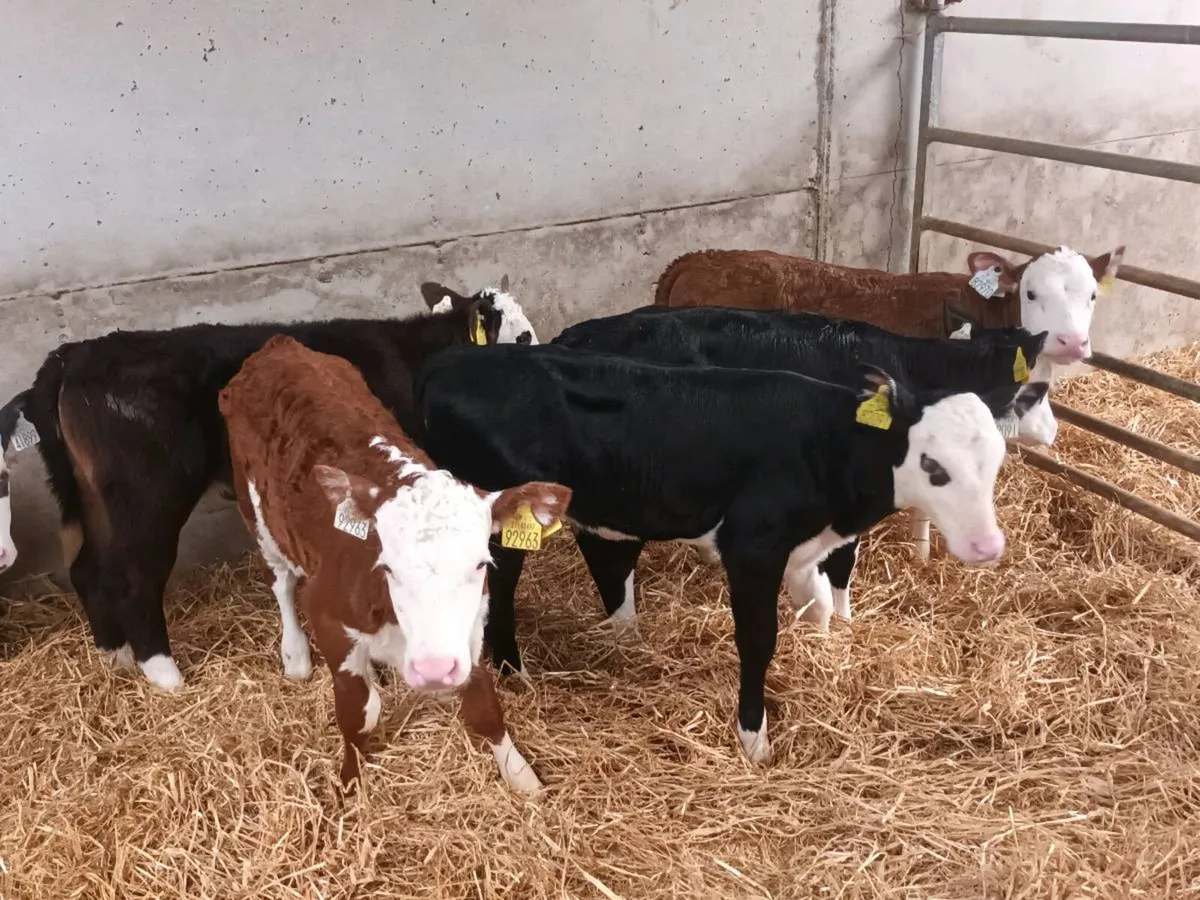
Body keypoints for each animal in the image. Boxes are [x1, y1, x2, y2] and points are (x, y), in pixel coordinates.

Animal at [15, 282, 538, 691]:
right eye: (522, 334)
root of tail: (72, 354)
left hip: (92, 497)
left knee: (88, 568)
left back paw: (115, 656)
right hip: (146, 497)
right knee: (135, 577)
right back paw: (164, 673)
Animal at [219, 335, 569, 791]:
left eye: (480, 565)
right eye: (387, 567)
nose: (434, 669)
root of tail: (279, 345)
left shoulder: (470, 627)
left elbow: (485, 708)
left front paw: (521, 776)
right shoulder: (328, 618)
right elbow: (359, 713)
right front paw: (349, 783)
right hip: (257, 514)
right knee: (280, 582)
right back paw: (295, 655)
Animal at [414, 344, 1009, 762]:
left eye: (1000, 458)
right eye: (933, 465)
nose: (989, 546)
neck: (828, 443)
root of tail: (445, 365)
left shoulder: (802, 547)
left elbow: (818, 604)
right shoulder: (752, 546)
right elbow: (758, 641)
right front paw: (755, 740)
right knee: (497, 592)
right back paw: (514, 673)